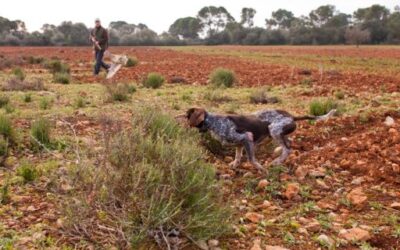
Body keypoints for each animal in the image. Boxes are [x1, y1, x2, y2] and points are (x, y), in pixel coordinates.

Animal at [186, 107, 336, 174]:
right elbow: (237, 156)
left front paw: (261, 169)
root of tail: (291, 116)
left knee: (287, 149)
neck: (215, 123)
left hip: (273, 130)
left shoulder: (247, 137)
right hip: (279, 133)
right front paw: (234, 165)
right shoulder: (239, 144)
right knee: (289, 144)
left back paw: (276, 162)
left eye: (187, 115)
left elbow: (251, 159)